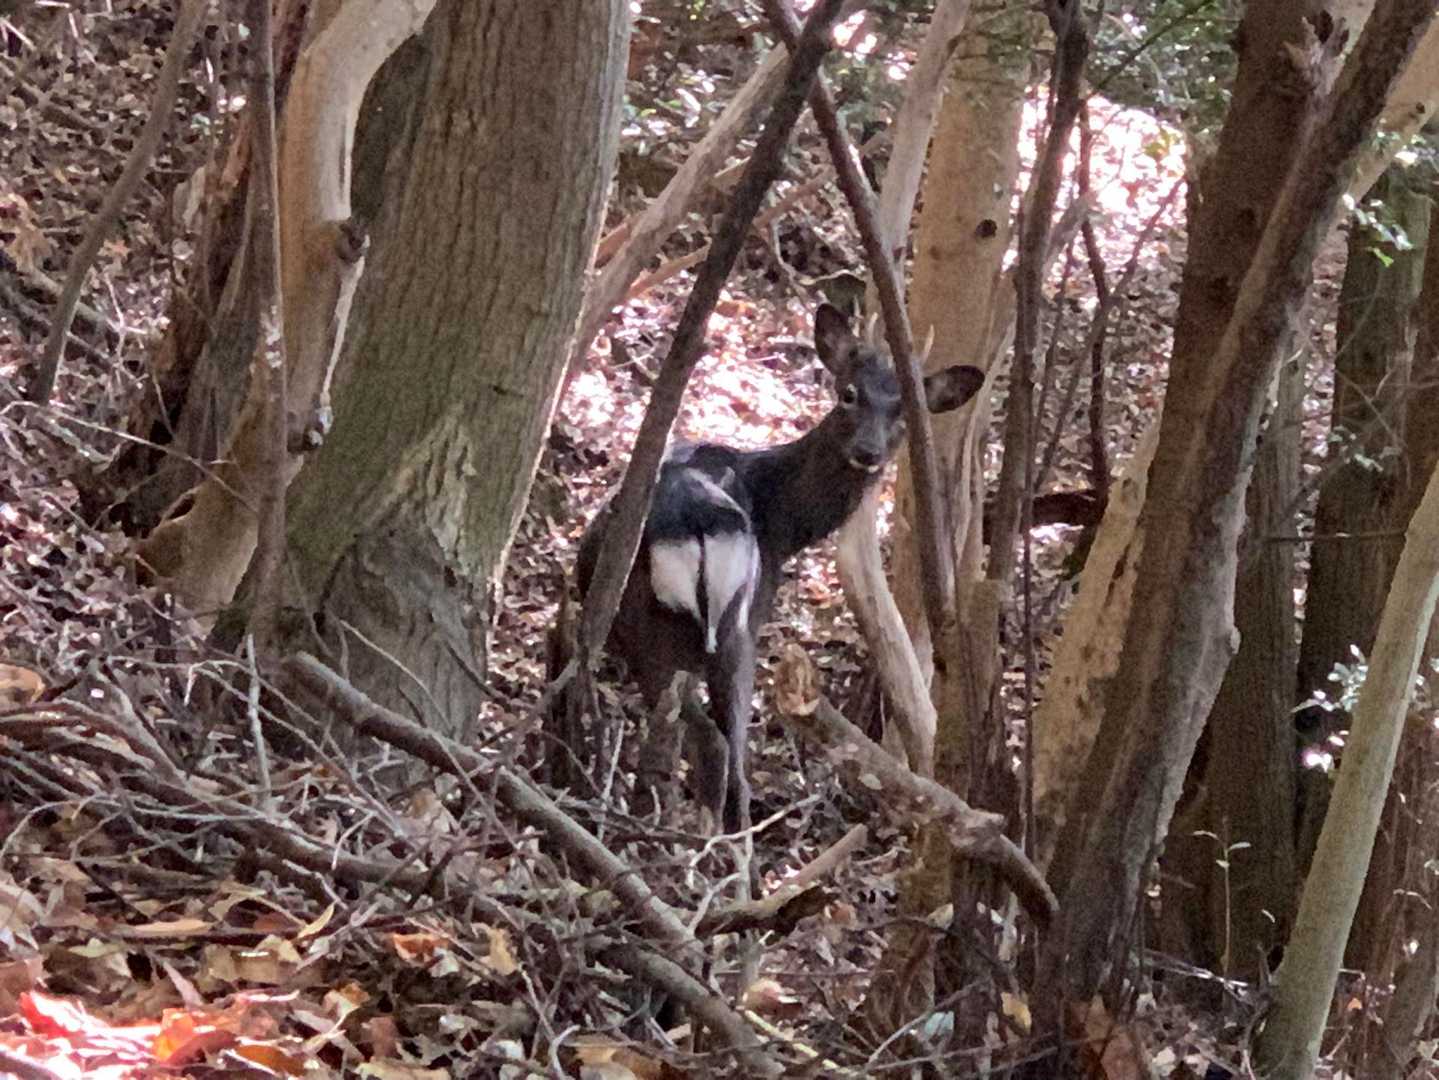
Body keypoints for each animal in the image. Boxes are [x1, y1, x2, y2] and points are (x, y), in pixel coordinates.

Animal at [576, 304, 985, 833]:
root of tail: (699, 525)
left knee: (715, 750)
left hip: (684, 632)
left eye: (903, 412)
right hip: (706, 630)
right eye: (848, 392)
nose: (868, 452)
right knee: (723, 754)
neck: (783, 524)